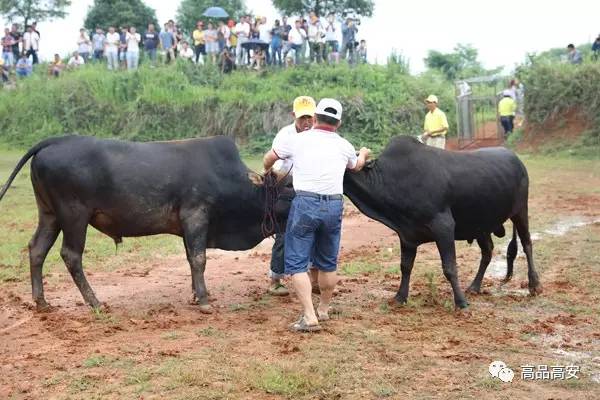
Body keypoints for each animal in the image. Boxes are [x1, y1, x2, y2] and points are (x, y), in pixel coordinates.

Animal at [0, 136, 290, 310]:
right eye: (288, 189)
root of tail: (57, 140)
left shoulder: (188, 225)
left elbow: (190, 258)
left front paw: (196, 294)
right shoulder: (196, 215)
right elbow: (199, 258)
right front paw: (205, 300)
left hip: (50, 214)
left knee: (37, 249)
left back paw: (41, 302)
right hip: (74, 216)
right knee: (71, 255)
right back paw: (95, 302)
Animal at [342, 136, 544, 308]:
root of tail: (515, 157)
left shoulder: (443, 226)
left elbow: (449, 267)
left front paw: (461, 303)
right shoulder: (406, 235)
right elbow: (405, 266)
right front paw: (399, 297)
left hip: (520, 210)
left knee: (527, 243)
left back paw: (534, 285)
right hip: (481, 225)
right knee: (487, 251)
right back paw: (474, 286)